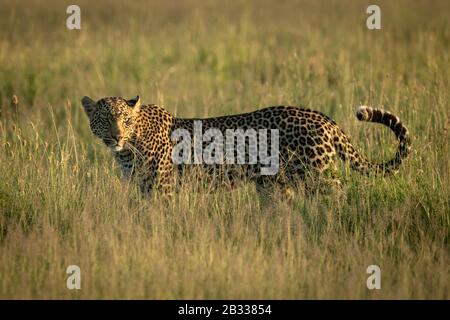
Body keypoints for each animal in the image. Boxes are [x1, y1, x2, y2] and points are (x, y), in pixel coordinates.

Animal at [81, 95, 412, 198]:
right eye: (104, 119)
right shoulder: (141, 188)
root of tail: (323, 117)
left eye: (125, 120)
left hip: (317, 175)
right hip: (276, 186)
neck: (131, 148)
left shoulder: (162, 189)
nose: (116, 137)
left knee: (339, 195)